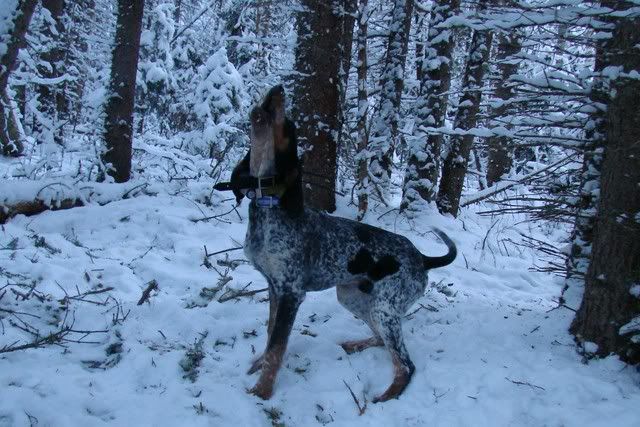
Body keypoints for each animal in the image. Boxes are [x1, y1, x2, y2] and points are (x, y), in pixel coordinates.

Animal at [219, 85, 457, 402]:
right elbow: (270, 336)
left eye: (287, 123)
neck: (269, 206)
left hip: (385, 309)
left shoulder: (291, 293)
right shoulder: (273, 287)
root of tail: (422, 257)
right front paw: (257, 367)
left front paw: (262, 391)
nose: (279, 89)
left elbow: (277, 347)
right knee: (381, 341)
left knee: (406, 365)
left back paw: (385, 398)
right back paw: (355, 345)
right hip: (354, 298)